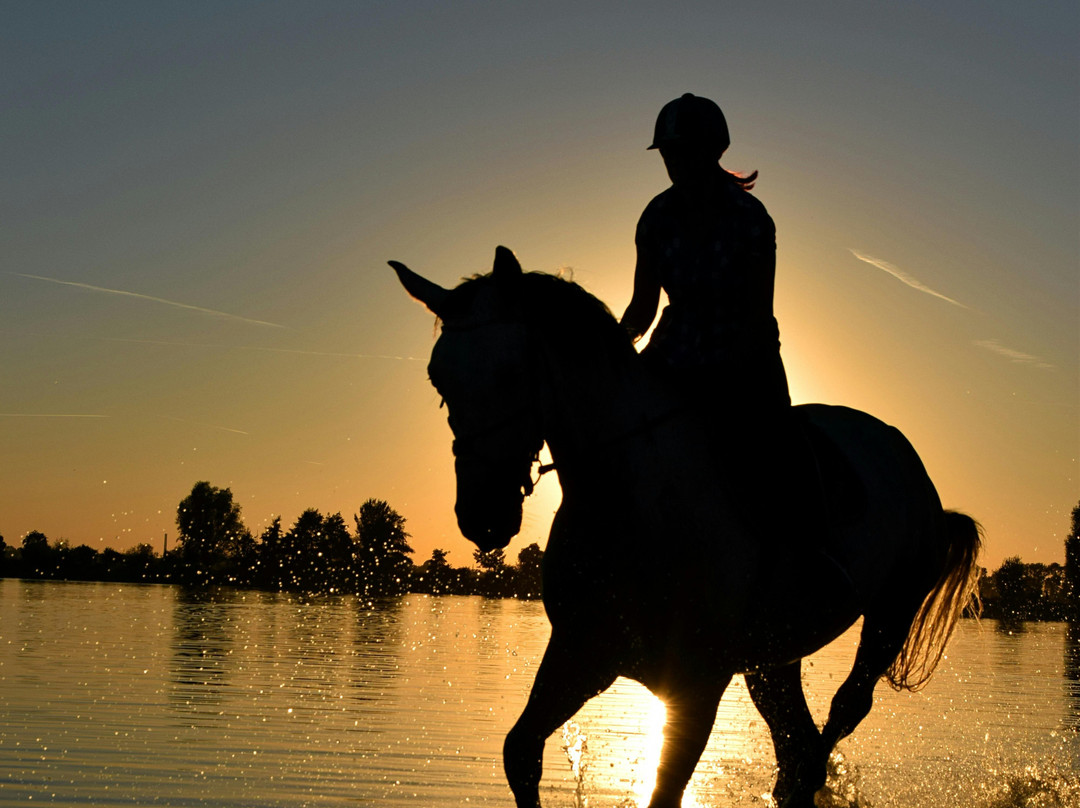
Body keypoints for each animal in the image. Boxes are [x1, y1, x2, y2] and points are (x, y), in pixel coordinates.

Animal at [391, 246, 981, 808]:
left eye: (512, 373)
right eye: (438, 378)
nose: (482, 516)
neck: (635, 500)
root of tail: (906, 459)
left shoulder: (696, 682)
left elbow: (664, 793)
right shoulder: (583, 652)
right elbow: (520, 752)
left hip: (889, 615)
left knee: (838, 718)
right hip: (771, 661)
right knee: (796, 746)